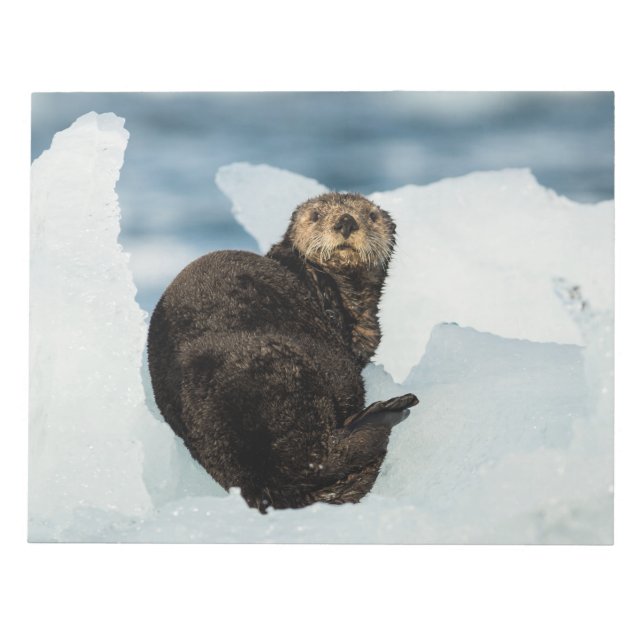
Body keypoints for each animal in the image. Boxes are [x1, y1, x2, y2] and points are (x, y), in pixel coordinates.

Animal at [147, 192, 418, 512]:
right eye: (315, 215)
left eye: (371, 216)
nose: (346, 221)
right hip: (295, 376)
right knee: (323, 455)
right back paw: (390, 410)